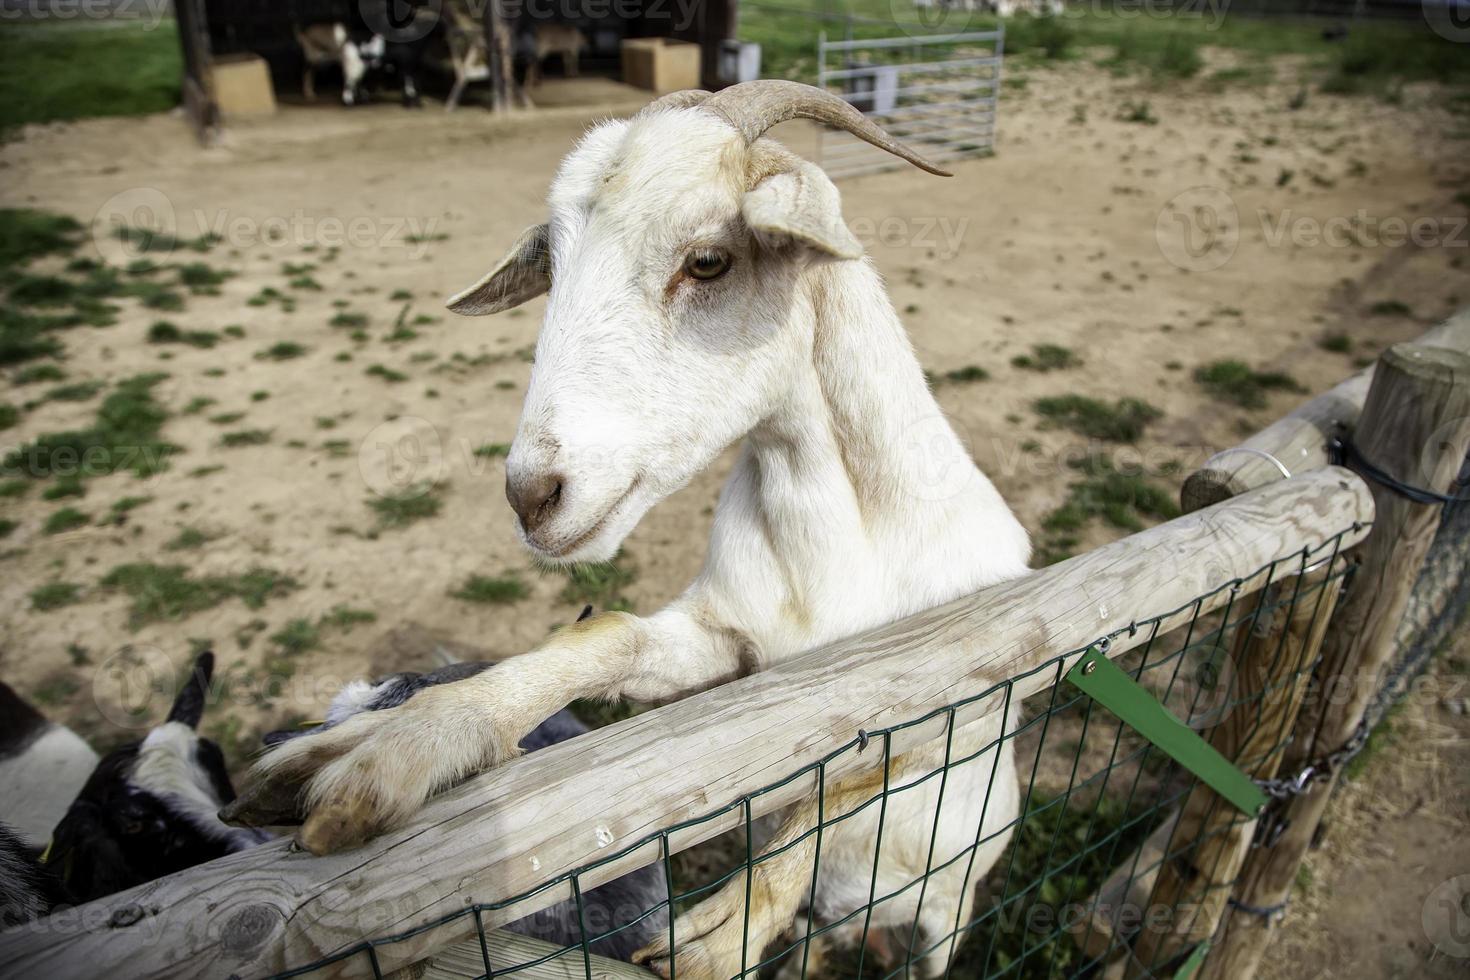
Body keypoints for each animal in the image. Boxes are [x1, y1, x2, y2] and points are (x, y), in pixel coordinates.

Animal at [232, 80, 1034, 975]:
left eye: (709, 259)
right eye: (553, 264)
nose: (532, 496)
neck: (847, 546)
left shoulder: (979, 688)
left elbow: (856, 774)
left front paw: (715, 937)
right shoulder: (727, 648)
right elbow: (606, 635)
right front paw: (390, 746)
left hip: (949, 906)